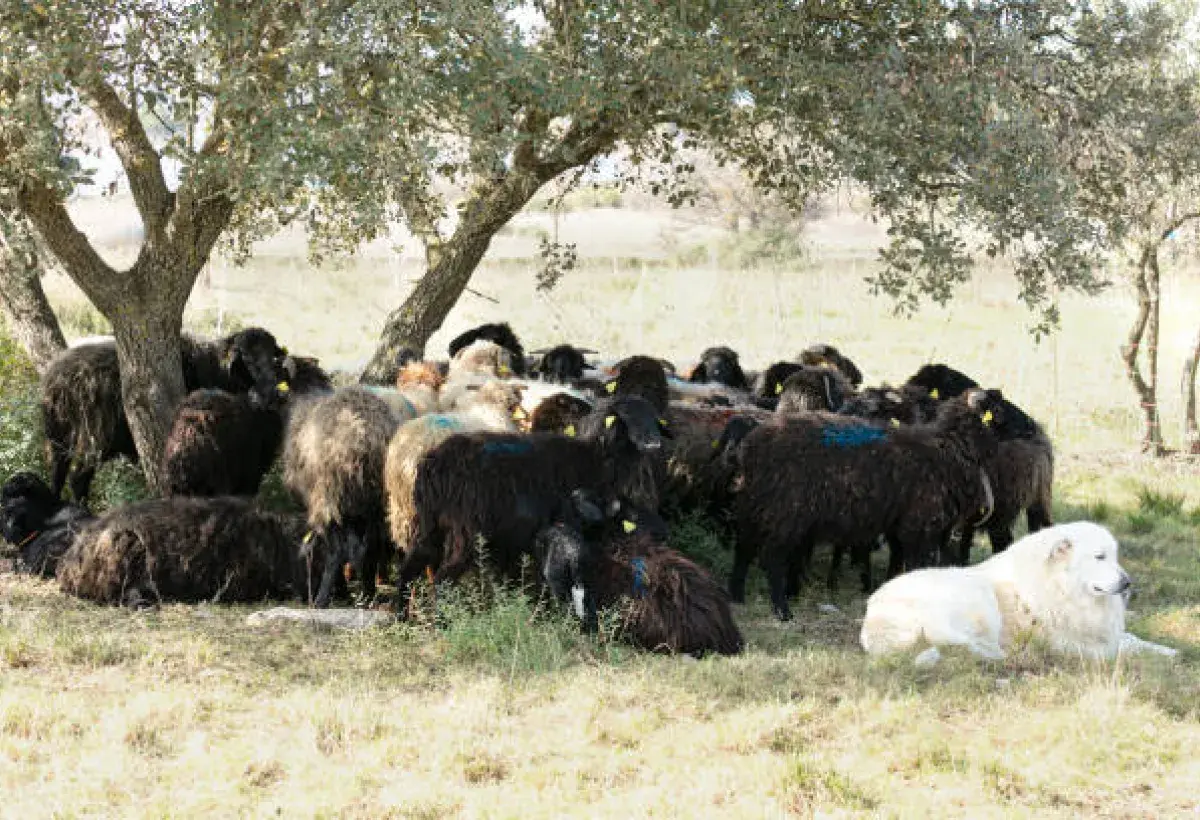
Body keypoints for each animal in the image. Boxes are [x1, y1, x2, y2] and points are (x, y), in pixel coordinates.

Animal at [41, 328, 286, 504]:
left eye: (273, 355)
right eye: (246, 358)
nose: (270, 385)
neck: (218, 369)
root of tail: (61, 376)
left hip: (57, 433)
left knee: (57, 470)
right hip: (97, 436)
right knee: (78, 478)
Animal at [282, 387, 401, 606]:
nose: (299, 596)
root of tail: (365, 432)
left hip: (330, 498)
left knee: (337, 552)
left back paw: (321, 601)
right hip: (378, 503)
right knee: (370, 548)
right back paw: (368, 596)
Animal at [396, 395, 667, 600]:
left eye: (653, 418)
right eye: (625, 418)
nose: (654, 443)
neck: (598, 457)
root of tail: (433, 463)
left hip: (427, 524)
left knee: (409, 568)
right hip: (464, 533)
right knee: (442, 580)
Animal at [732, 390, 1002, 620]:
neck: (948, 448)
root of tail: (753, 446)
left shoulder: (902, 524)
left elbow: (901, 560)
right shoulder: (920, 525)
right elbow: (917, 564)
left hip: (752, 507)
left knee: (743, 550)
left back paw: (737, 597)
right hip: (786, 512)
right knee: (773, 558)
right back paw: (782, 611)